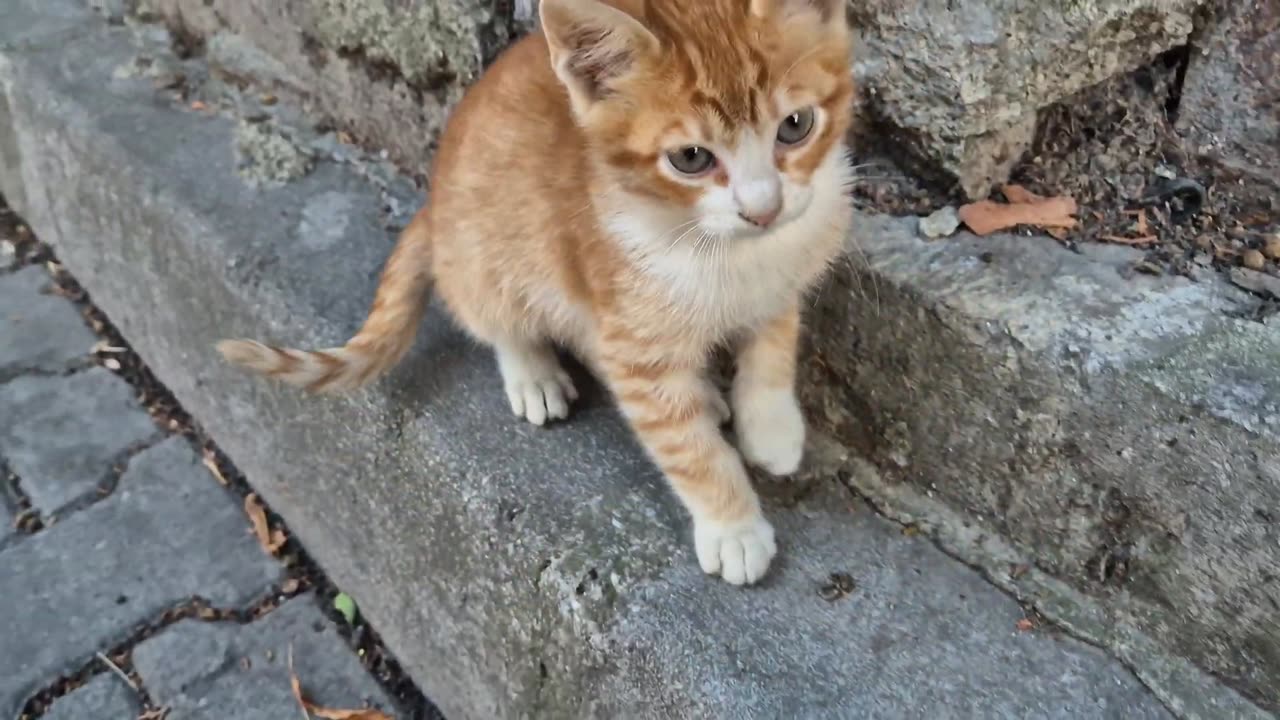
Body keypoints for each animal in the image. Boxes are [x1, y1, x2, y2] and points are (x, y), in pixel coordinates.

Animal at [218, 0, 849, 584]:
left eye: (796, 125)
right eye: (691, 158)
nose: (763, 210)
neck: (731, 250)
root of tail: (433, 207)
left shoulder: (786, 272)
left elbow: (773, 344)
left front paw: (770, 426)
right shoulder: (627, 326)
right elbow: (684, 445)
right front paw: (733, 526)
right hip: (488, 260)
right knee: (499, 318)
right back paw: (534, 372)